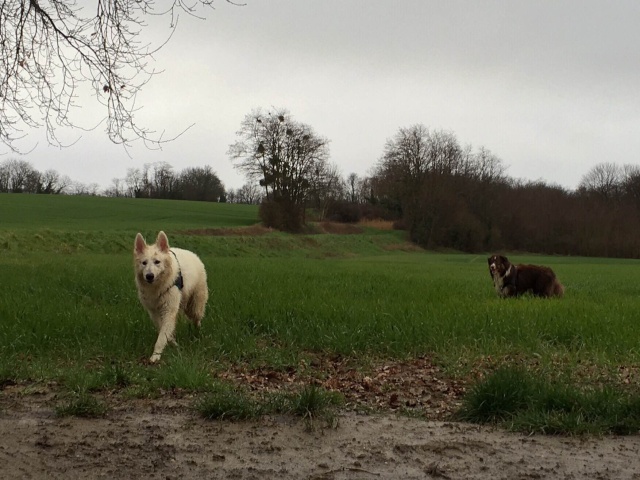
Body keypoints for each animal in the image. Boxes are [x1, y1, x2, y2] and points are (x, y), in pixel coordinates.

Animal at [134, 231, 209, 362]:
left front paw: (155, 355)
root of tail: (194, 255)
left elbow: (161, 336)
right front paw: (173, 343)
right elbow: (164, 331)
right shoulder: (154, 312)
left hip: (194, 307)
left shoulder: (169, 310)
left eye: (157, 262)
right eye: (144, 263)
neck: (157, 287)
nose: (149, 276)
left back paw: (197, 332)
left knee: (197, 319)